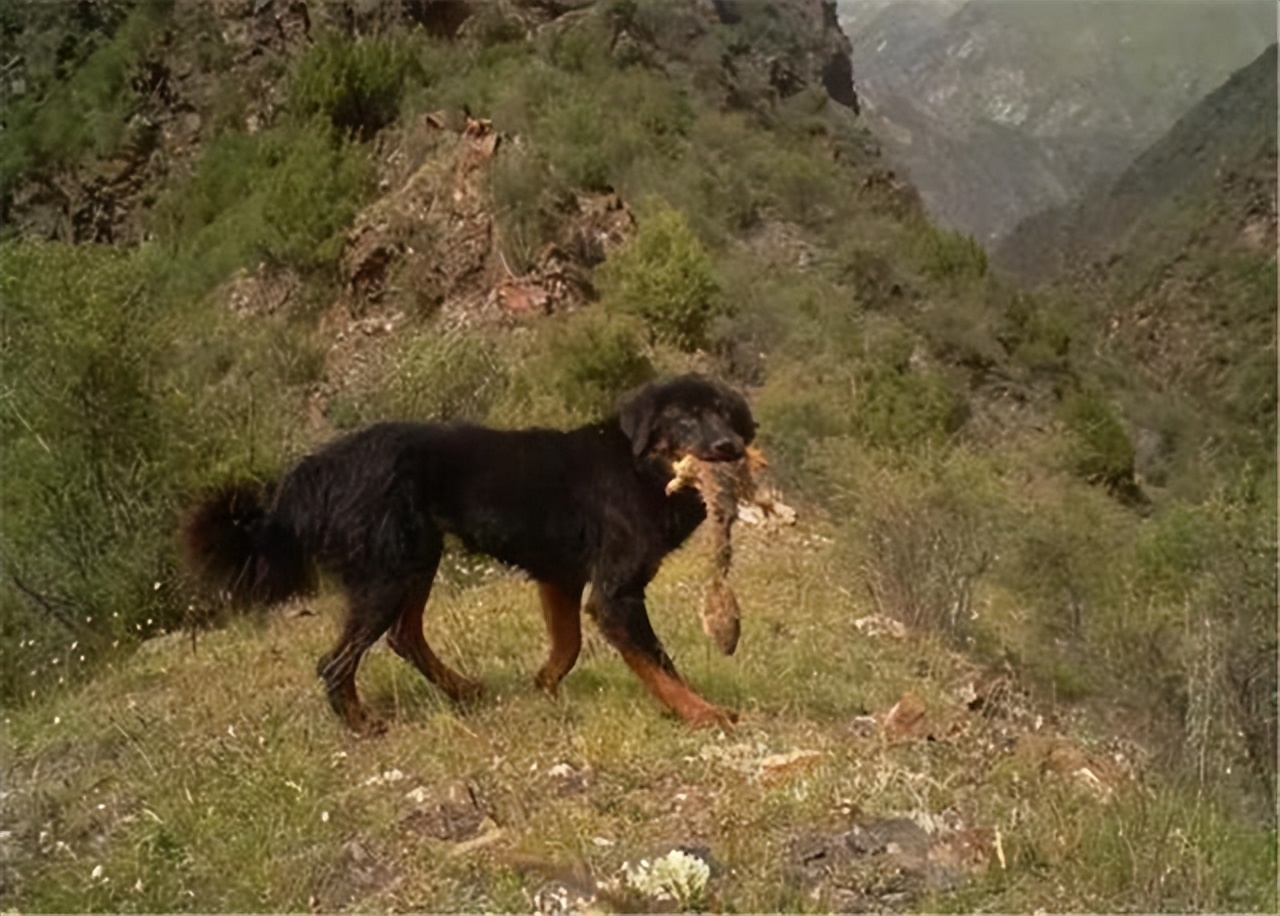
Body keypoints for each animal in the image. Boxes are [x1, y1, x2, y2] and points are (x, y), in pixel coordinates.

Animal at [185, 371, 752, 731]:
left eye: (728, 417)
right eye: (685, 418)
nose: (729, 448)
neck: (639, 466)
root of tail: (311, 473)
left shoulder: (561, 578)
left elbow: (567, 645)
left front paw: (545, 685)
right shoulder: (616, 594)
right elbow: (660, 664)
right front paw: (704, 714)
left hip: (415, 558)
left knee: (404, 635)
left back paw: (461, 691)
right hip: (389, 570)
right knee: (336, 662)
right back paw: (363, 724)